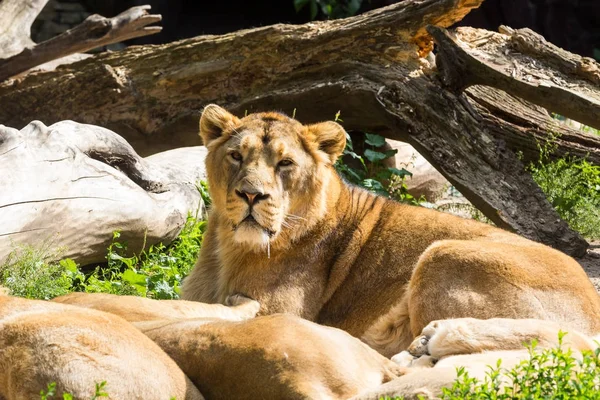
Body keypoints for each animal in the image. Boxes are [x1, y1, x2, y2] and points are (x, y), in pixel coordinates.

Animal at [180, 104, 600, 356]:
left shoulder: (282, 312)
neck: (228, 249)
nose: (251, 194)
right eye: (236, 156)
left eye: (285, 163)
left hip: (444, 253)